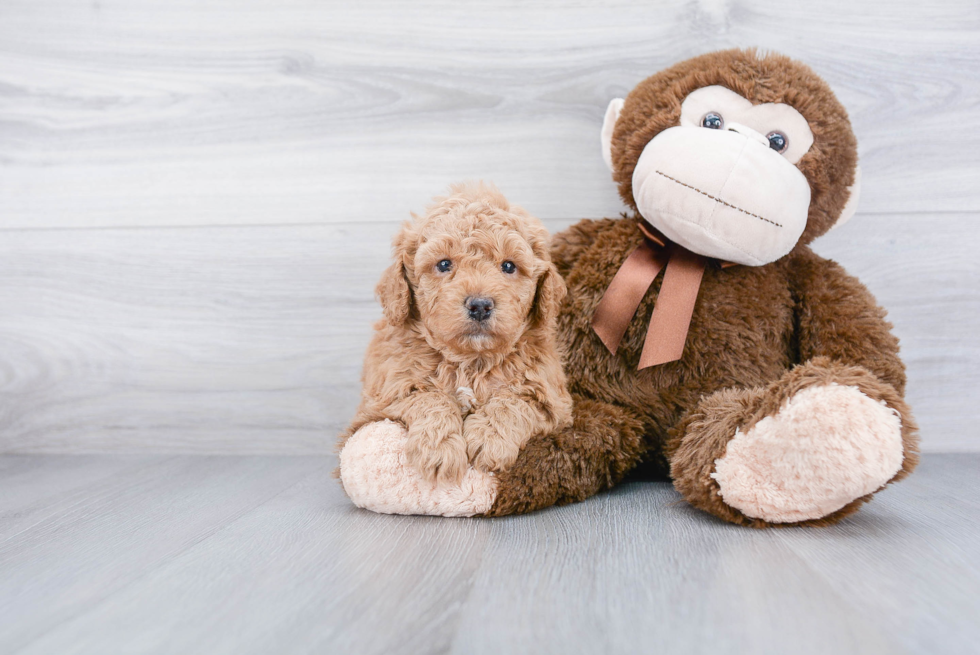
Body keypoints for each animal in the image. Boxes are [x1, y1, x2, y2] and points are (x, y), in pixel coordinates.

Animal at [344, 182, 576, 484]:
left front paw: (490, 437)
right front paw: (439, 448)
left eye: (509, 266)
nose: (480, 305)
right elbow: (429, 397)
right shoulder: (382, 399)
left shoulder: (553, 400)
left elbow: (512, 401)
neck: (469, 361)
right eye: (444, 264)